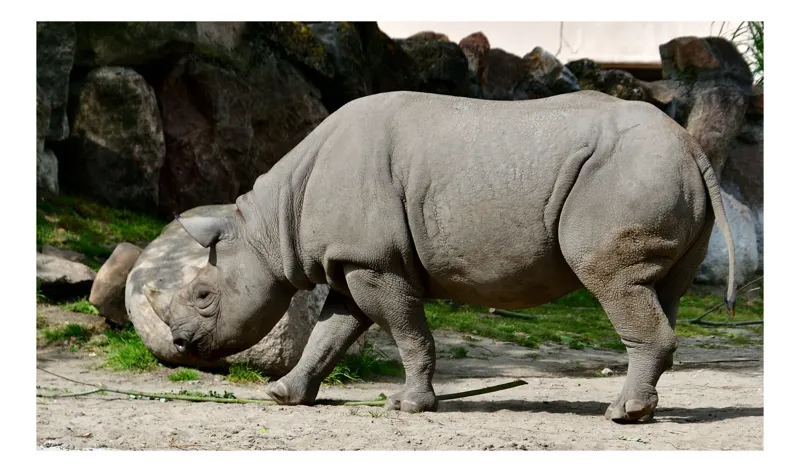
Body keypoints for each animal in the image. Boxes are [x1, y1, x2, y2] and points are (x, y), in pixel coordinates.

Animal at [145, 90, 736, 422]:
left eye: (203, 295)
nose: (181, 345)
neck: (270, 225)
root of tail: (691, 146)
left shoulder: (374, 262)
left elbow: (408, 333)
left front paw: (408, 407)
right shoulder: (353, 261)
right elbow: (329, 333)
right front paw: (283, 396)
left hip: (626, 175)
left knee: (614, 282)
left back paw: (620, 416)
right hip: (660, 174)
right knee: (661, 290)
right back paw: (643, 412)